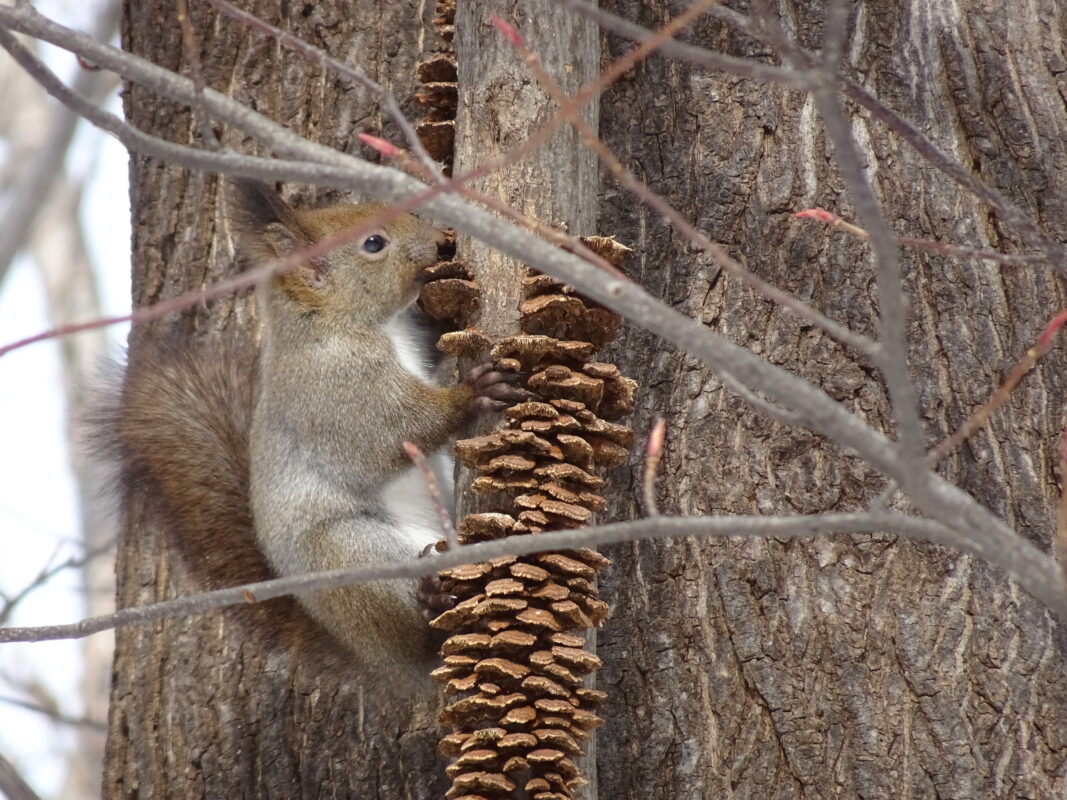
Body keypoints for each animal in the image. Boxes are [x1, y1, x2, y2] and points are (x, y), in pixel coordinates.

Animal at [110, 181, 510, 682]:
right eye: (373, 243)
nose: (441, 241)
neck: (336, 322)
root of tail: (373, 655)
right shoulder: (339, 391)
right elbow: (397, 430)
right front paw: (471, 393)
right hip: (350, 557)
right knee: (419, 637)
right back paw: (432, 602)